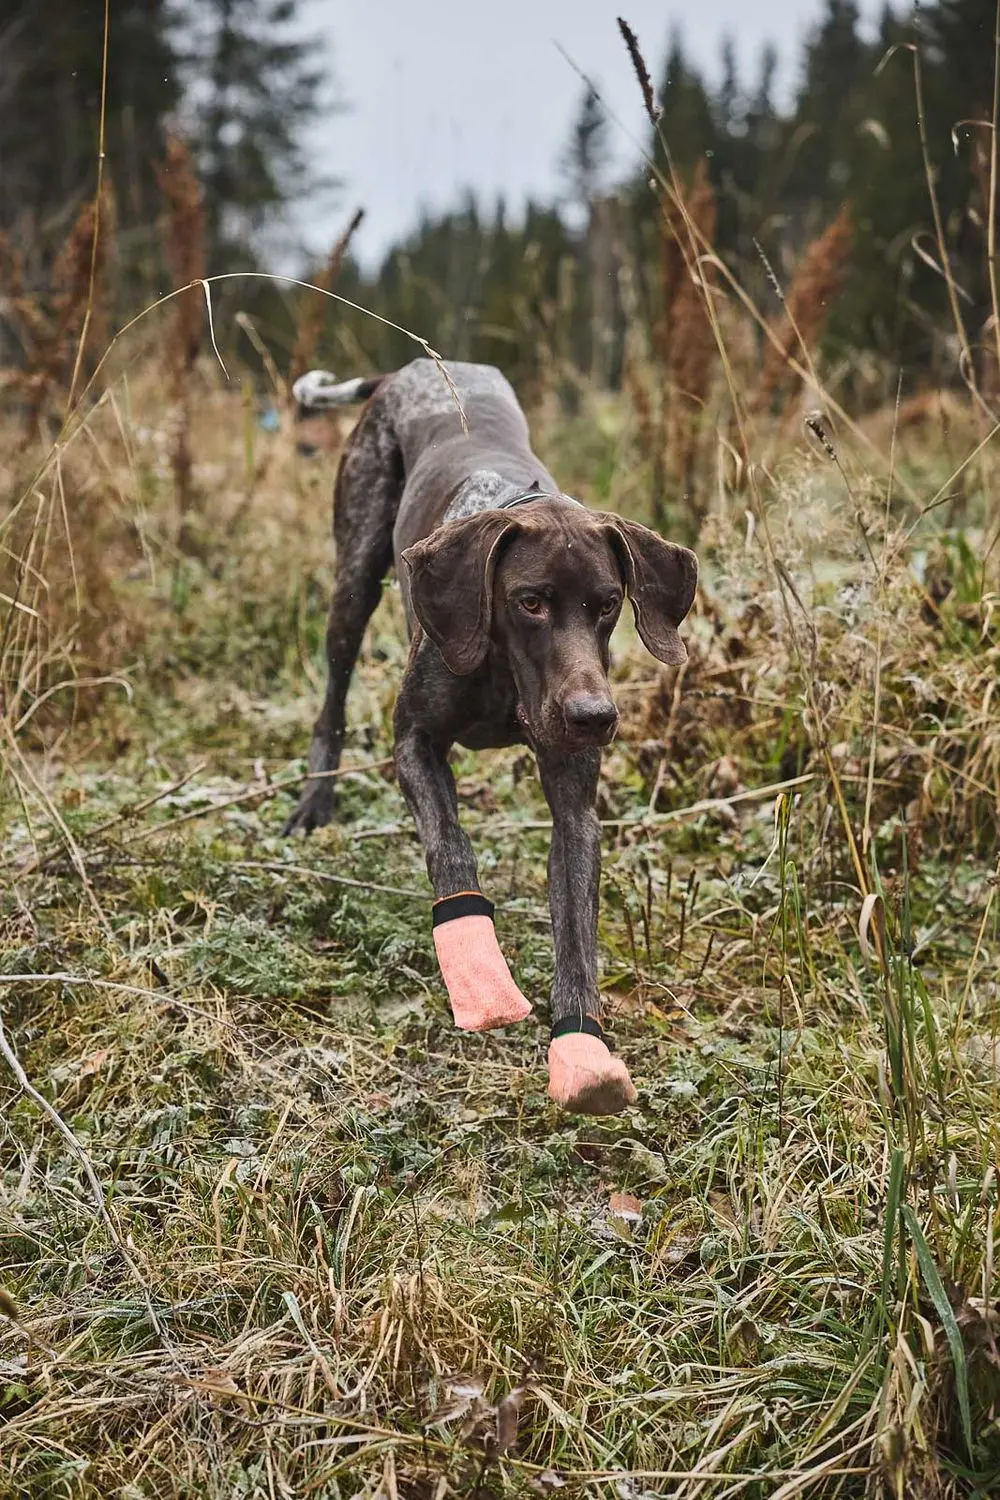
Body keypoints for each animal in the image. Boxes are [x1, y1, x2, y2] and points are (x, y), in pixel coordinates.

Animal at [287, 363, 695, 1116]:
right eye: (529, 601)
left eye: (607, 604)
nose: (594, 716)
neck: (506, 676)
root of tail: (407, 371)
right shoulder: (414, 742)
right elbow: (451, 848)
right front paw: (480, 978)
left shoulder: (575, 806)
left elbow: (576, 928)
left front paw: (580, 1046)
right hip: (353, 579)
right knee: (332, 696)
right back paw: (313, 802)